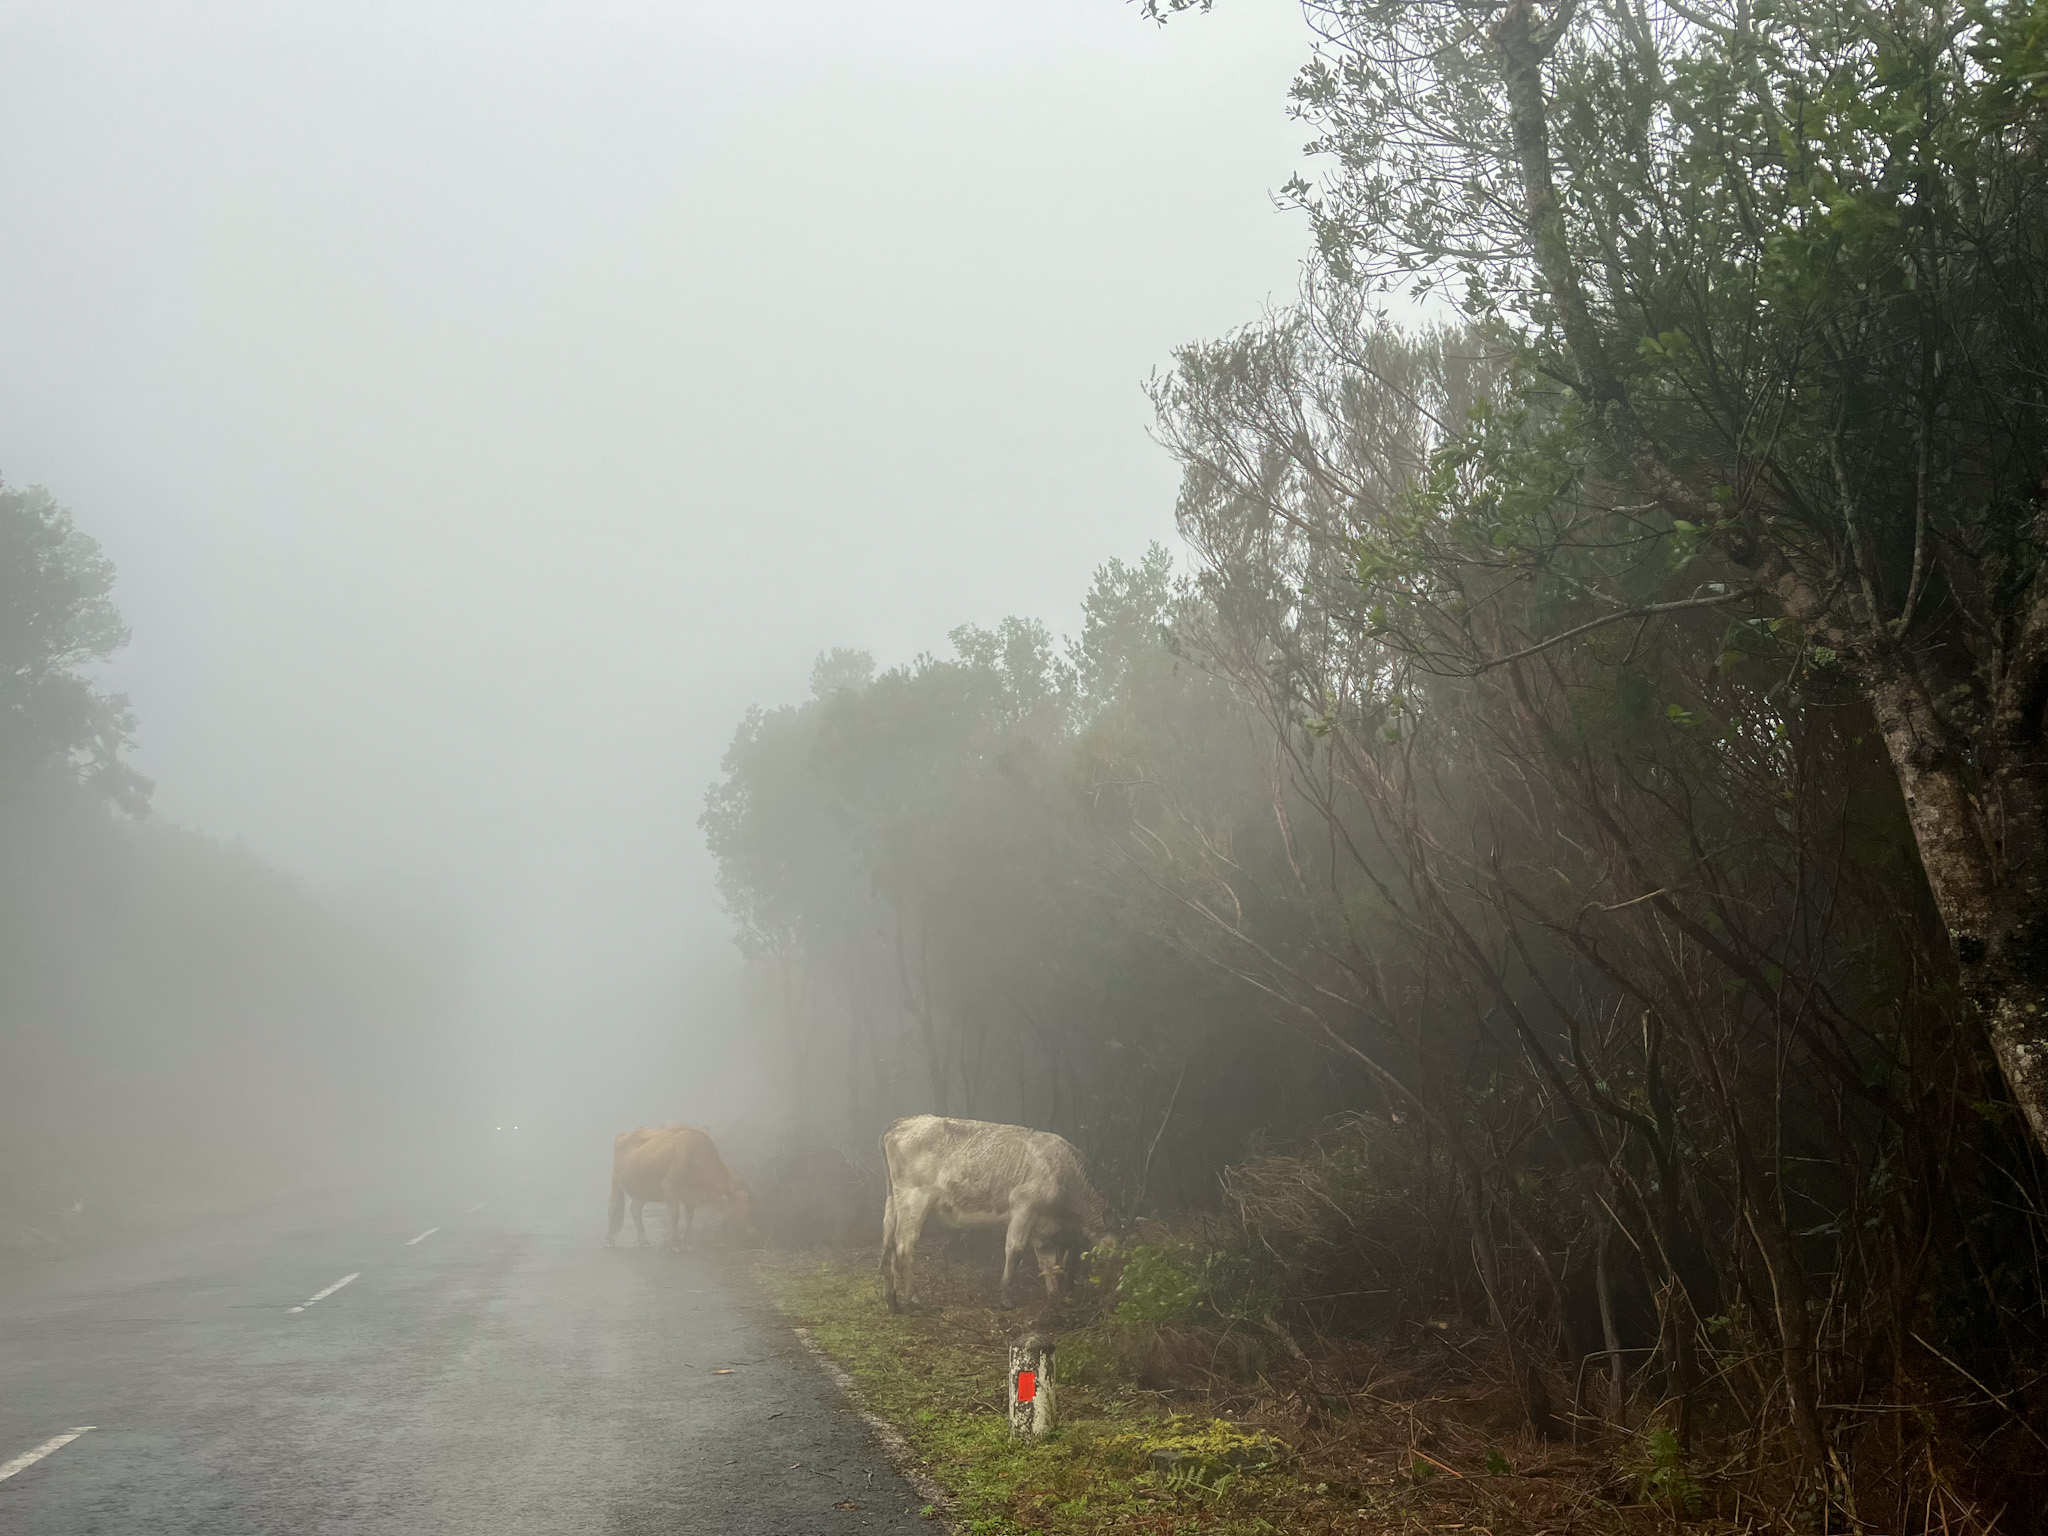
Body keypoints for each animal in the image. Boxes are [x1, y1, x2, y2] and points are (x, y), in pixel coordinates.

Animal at [602, 1122, 757, 1253]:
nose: (752, 1231)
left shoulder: (690, 1197)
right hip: (615, 1181)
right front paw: (674, 1244)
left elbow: (689, 1218)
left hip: (644, 1189)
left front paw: (687, 1243)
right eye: (743, 1201)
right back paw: (609, 1240)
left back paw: (644, 1241)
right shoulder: (670, 1187)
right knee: (612, 1206)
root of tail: (624, 1134)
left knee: (635, 1208)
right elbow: (675, 1216)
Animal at [876, 1114, 1114, 1318]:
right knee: (904, 1245)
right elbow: (1015, 1250)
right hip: (915, 1199)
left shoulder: (1043, 1226)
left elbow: (1047, 1261)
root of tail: (904, 1121)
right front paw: (1006, 1298)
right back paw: (914, 1300)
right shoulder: (1024, 1204)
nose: (1110, 1287)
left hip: (893, 1201)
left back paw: (892, 1301)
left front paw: (1054, 1296)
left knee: (888, 1244)